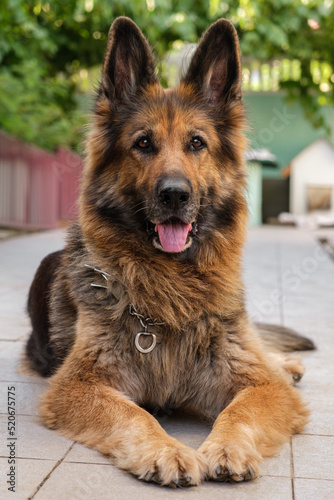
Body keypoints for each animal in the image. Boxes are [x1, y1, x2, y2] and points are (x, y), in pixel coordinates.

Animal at [25, 17, 314, 486]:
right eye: (143, 143)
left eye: (197, 143)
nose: (175, 195)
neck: (171, 283)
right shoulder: (78, 385)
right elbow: (133, 415)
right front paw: (167, 451)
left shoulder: (260, 386)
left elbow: (243, 408)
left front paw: (229, 445)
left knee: (262, 352)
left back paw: (286, 363)